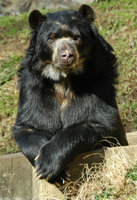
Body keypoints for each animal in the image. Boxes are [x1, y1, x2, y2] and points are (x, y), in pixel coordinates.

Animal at [12, 4, 128, 182]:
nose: (66, 55)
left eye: (76, 37)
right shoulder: (34, 87)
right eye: (50, 39)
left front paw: (48, 164)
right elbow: (31, 125)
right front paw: (49, 169)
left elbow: (94, 120)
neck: (64, 78)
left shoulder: (97, 82)